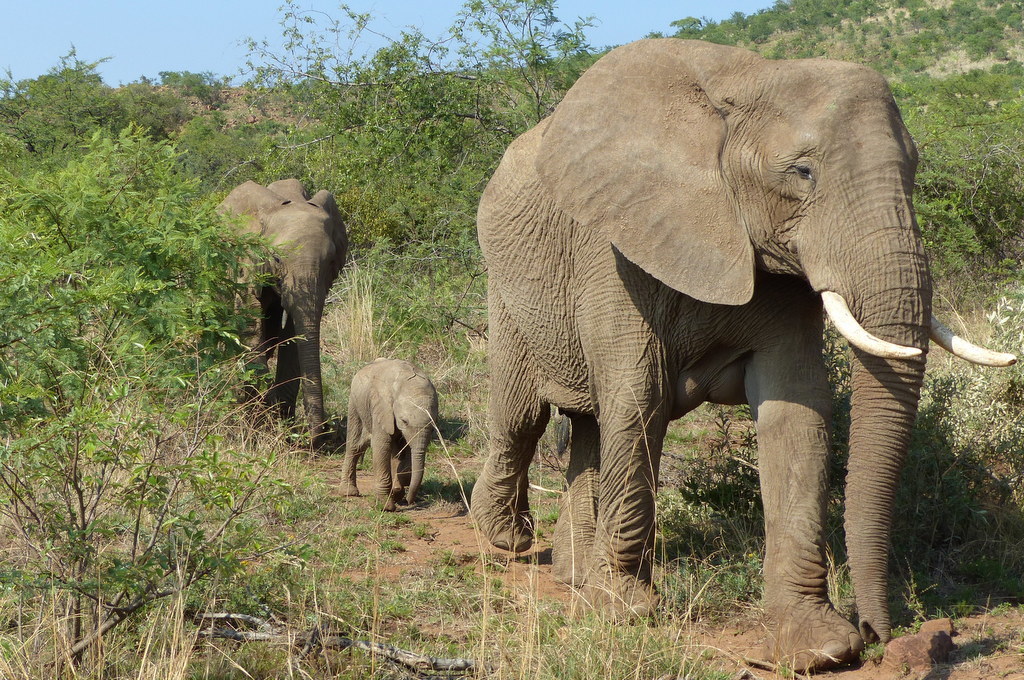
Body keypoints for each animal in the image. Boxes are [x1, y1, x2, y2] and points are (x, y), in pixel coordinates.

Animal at [217, 178, 348, 448]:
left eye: (331, 260)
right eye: (277, 259)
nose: (324, 434)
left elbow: (293, 338)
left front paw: (284, 427)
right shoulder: (245, 264)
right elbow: (251, 332)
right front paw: (260, 426)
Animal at [342, 360, 438, 510]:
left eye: (434, 426)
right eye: (404, 421)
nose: (409, 502)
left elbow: (405, 450)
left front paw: (397, 491)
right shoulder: (381, 408)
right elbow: (381, 446)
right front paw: (385, 506)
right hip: (355, 403)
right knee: (355, 445)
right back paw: (349, 492)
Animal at [471, 39, 1015, 671]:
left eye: (915, 169)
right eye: (802, 172)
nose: (880, 634)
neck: (748, 81)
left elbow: (797, 411)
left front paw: (817, 647)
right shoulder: (615, 249)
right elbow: (640, 398)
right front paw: (624, 609)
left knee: (586, 423)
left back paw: (573, 575)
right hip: (506, 285)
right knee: (523, 415)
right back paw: (507, 538)